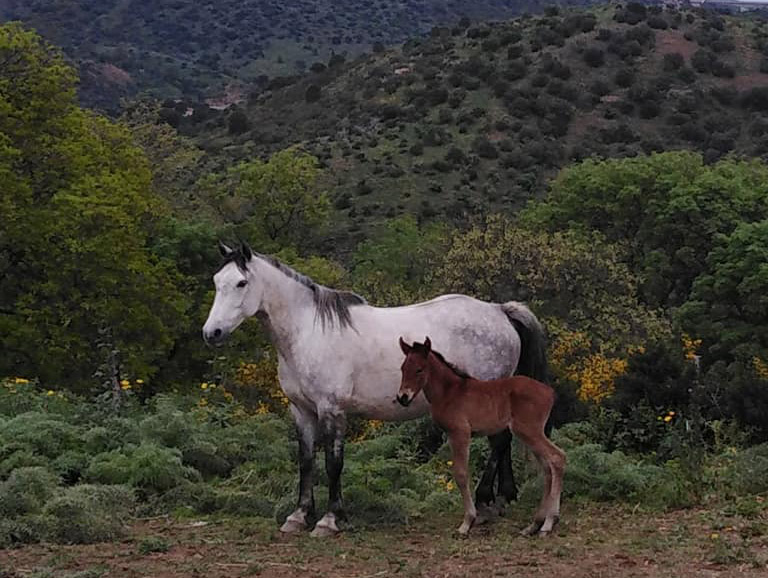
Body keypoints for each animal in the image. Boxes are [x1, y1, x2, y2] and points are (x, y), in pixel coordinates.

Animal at [204, 242, 544, 536]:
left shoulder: (331, 410)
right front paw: (299, 516)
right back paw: (500, 499)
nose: (211, 333)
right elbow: (306, 461)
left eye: (241, 283)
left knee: (499, 443)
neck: (308, 333)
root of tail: (500, 311)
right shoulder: (301, 410)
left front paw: (330, 520)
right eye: (217, 281)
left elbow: (333, 463)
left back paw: (484, 502)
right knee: (503, 442)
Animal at [396, 336, 564, 532]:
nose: (403, 398)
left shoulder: (460, 433)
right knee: (547, 468)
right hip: (531, 434)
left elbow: (461, 474)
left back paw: (549, 522)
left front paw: (467, 522)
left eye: (419, 369)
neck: (450, 391)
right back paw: (535, 524)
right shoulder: (454, 434)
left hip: (529, 431)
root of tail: (550, 392)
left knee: (557, 458)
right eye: (403, 368)